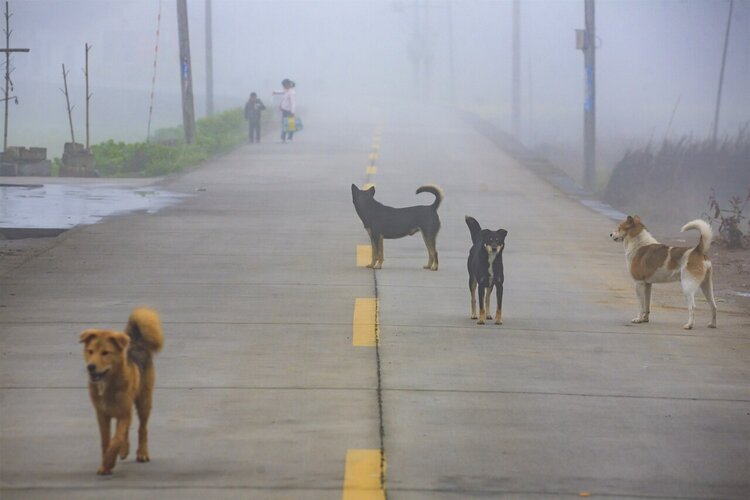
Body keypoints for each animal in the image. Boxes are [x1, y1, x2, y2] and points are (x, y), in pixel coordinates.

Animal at [79, 306, 164, 474]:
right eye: (90, 351)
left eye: (105, 352)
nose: (90, 366)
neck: (108, 384)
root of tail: (136, 343)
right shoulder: (102, 414)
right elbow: (106, 441)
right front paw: (106, 463)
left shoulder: (123, 412)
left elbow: (116, 439)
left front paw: (108, 462)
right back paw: (125, 450)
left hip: (144, 401)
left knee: (142, 428)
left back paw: (142, 453)